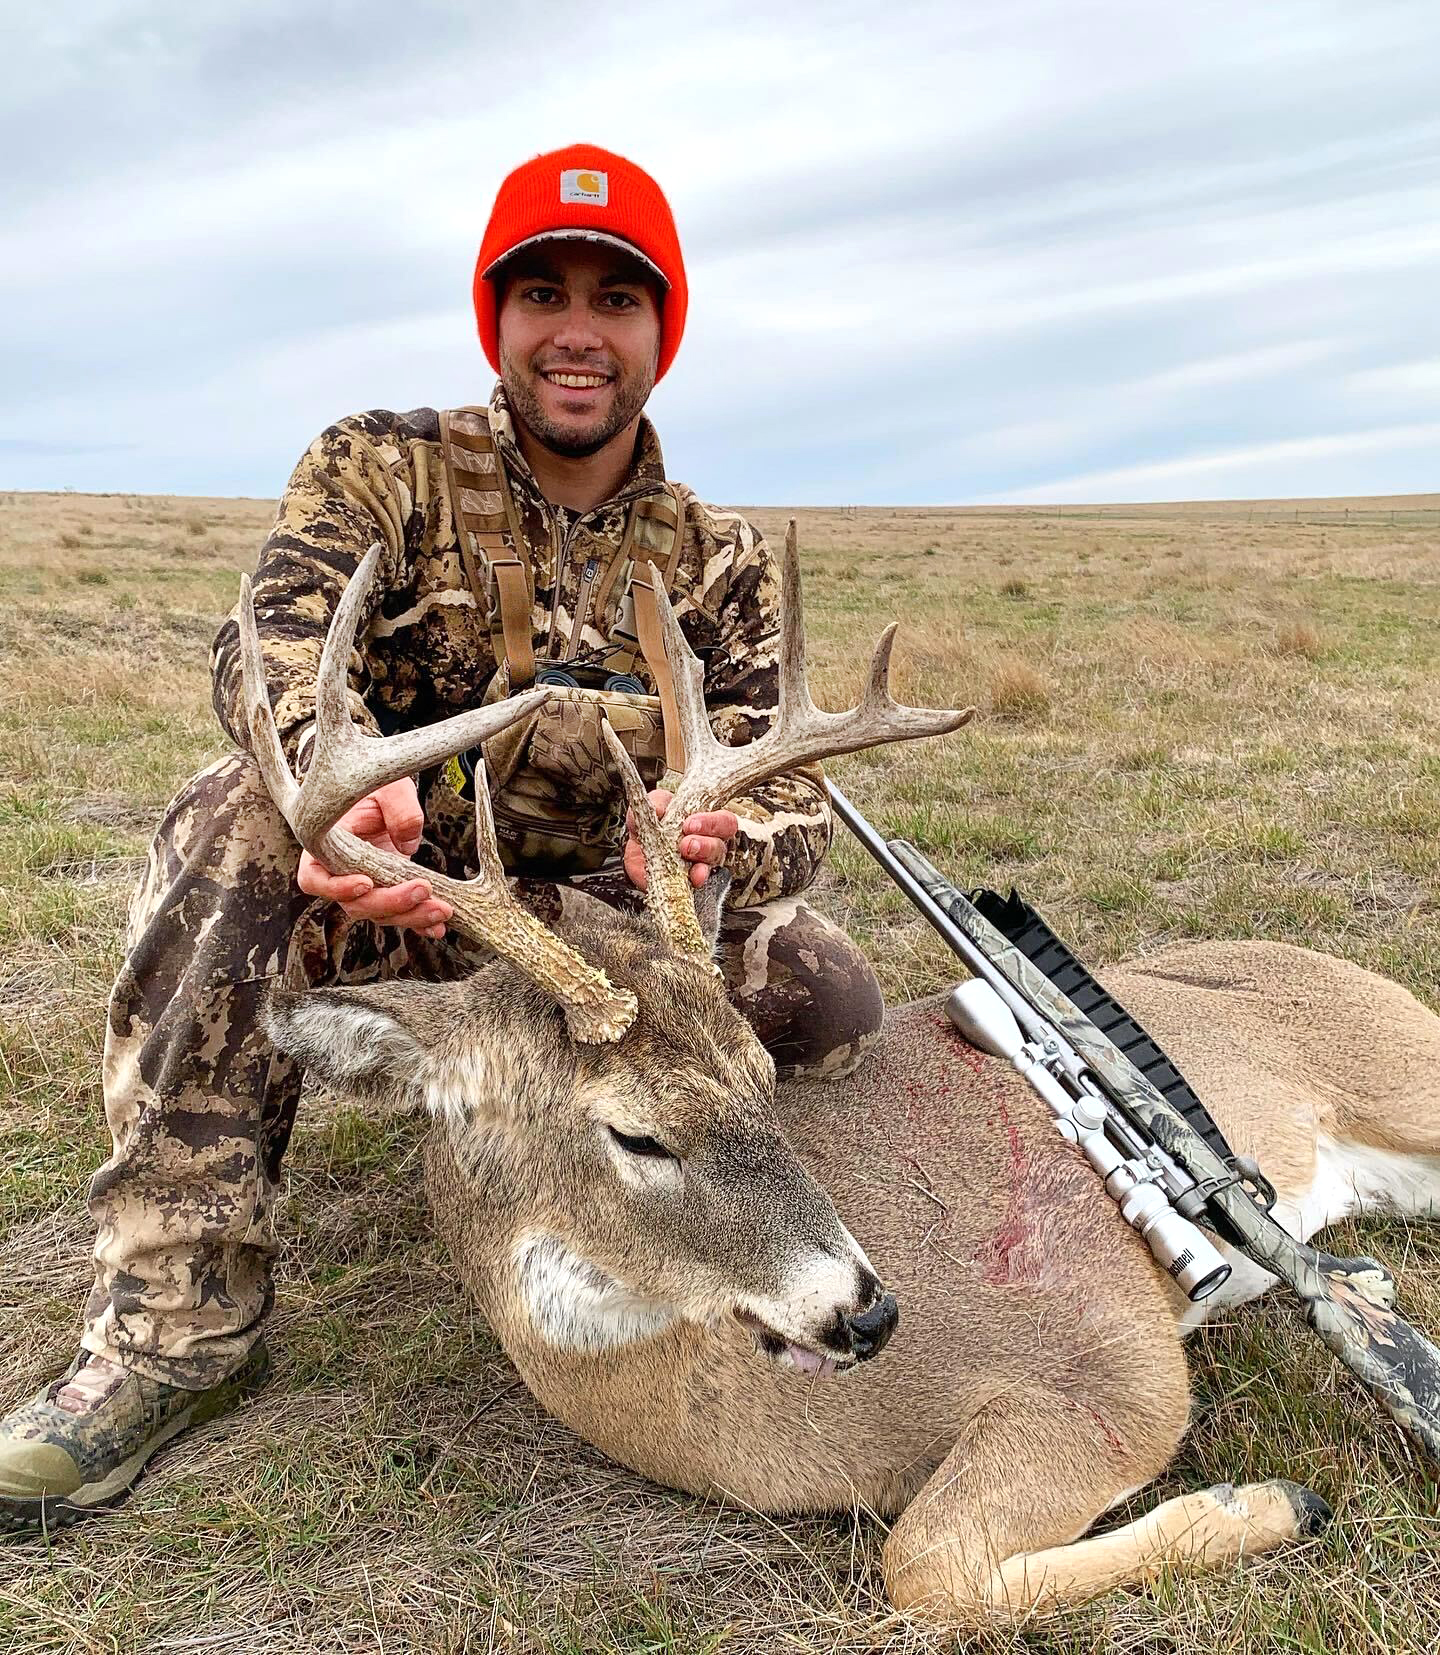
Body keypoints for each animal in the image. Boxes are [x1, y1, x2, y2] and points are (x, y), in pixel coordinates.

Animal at [240, 532, 1440, 1628]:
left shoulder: (1113, 1360)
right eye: (636, 1132)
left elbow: (924, 1566)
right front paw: (1279, 1492)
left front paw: (1274, 1499)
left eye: (760, 1070)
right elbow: (928, 1568)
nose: (867, 1311)